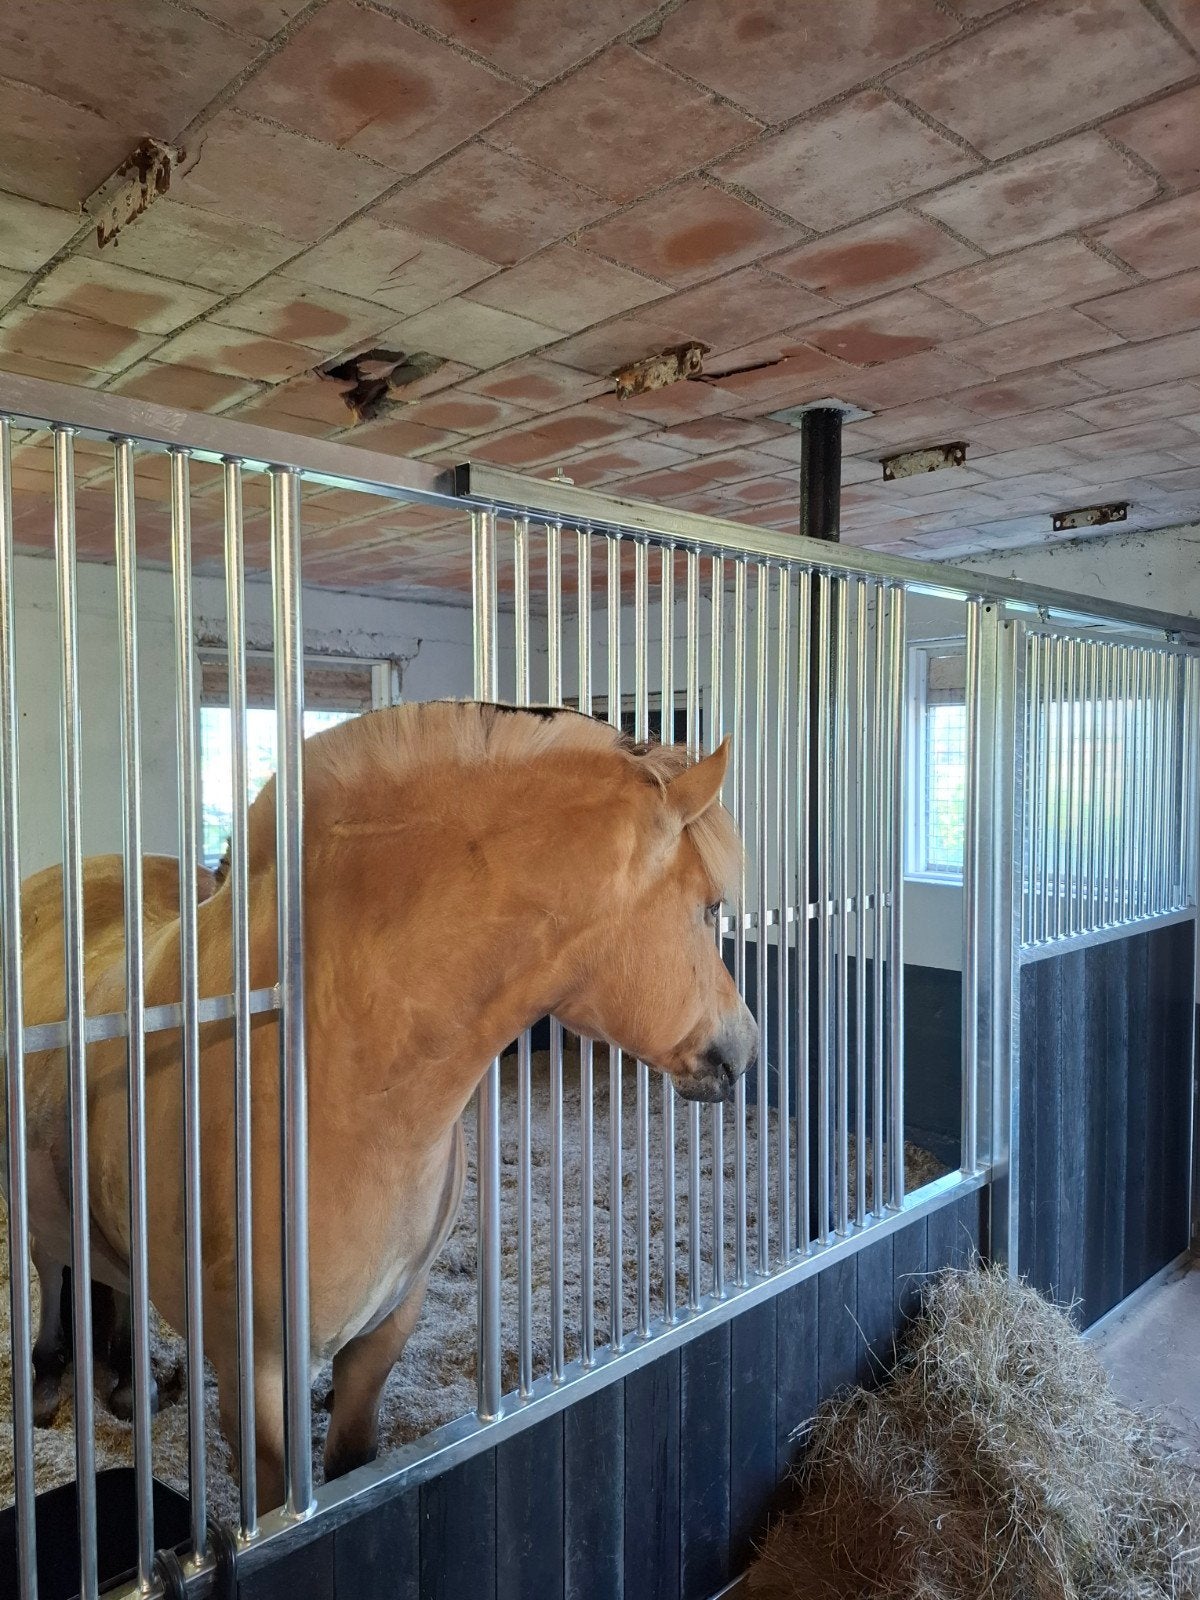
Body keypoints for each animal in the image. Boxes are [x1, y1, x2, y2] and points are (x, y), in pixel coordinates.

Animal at [6, 700, 758, 1512]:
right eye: (708, 908)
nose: (745, 1049)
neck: (342, 1088)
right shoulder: (254, 1377)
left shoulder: (385, 1329)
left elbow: (352, 1465)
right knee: (51, 1264)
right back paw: (48, 1380)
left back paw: (126, 1383)